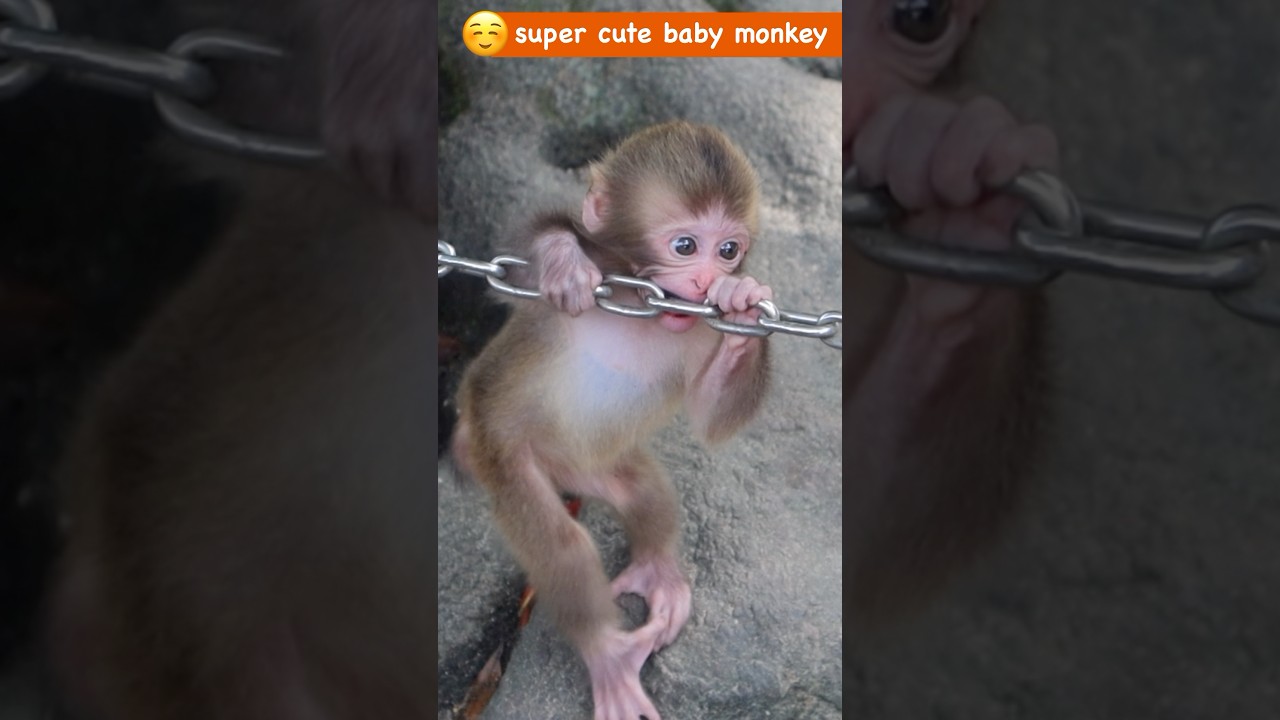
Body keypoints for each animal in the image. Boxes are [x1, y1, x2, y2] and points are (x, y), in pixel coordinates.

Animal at [450, 120, 772, 720]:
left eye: (729, 249)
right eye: (685, 246)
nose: (706, 280)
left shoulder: (702, 333)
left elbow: (713, 417)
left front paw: (742, 300)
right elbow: (512, 261)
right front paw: (563, 260)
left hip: (586, 461)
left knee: (643, 488)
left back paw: (655, 571)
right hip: (501, 454)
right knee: (561, 547)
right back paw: (608, 657)